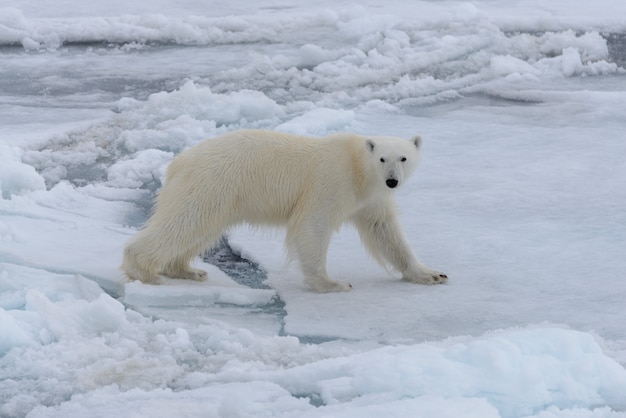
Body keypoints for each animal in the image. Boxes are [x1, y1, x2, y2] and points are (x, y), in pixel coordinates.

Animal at [120, 130, 444, 290]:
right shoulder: (331, 181)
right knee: (186, 221)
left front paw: (431, 275)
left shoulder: (371, 198)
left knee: (199, 229)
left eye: (403, 158)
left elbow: (385, 232)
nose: (392, 180)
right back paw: (146, 272)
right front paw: (332, 282)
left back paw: (187, 270)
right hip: (213, 183)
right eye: (382, 158)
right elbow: (313, 225)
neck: (358, 169)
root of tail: (178, 162)